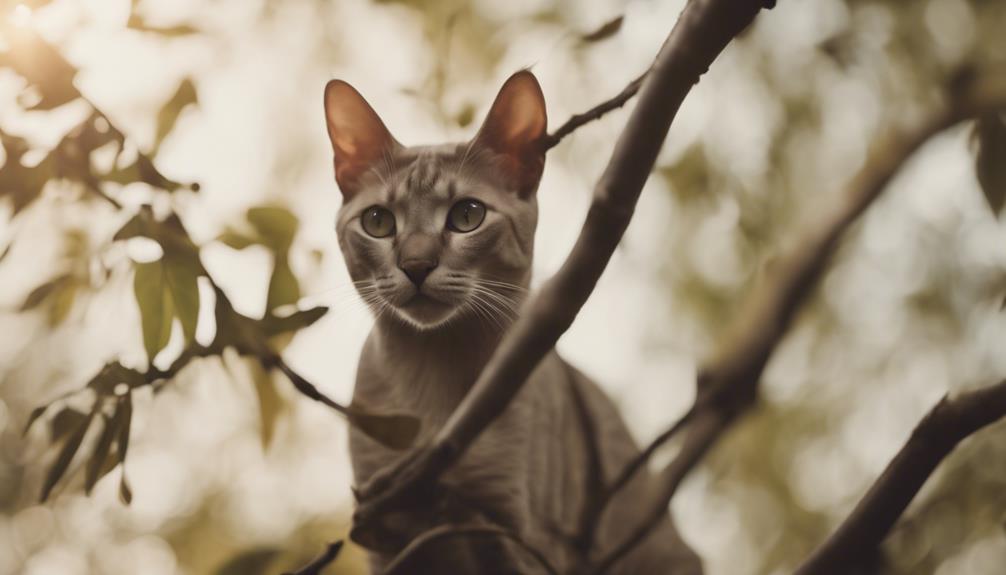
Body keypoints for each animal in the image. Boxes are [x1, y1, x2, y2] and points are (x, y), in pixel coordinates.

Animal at [321, 71, 700, 575]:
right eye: (378, 222)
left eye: (467, 215)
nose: (416, 266)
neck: (433, 376)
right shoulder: (390, 557)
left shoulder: (524, 539)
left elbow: (461, 510)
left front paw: (423, 488)